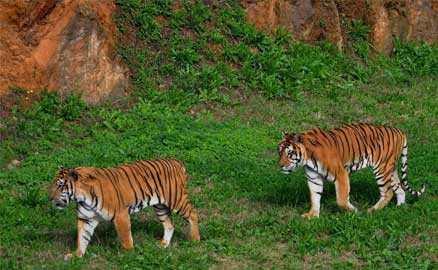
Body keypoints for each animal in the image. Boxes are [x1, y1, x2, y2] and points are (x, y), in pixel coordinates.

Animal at [48, 159, 200, 258]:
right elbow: (82, 238)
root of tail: (177, 161)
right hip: (161, 206)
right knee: (169, 225)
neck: (82, 197)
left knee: (193, 213)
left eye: (60, 186)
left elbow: (125, 238)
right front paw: (77, 255)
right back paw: (164, 244)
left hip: (176, 200)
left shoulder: (120, 215)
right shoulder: (86, 219)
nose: (49, 198)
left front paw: (128, 256)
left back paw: (195, 239)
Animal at [278, 123, 426, 218]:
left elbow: (341, 200)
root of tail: (399, 131)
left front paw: (354, 211)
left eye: (289, 153)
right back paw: (399, 208)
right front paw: (312, 215)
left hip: (382, 169)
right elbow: (315, 197)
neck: (307, 158)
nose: (280, 165)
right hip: (391, 169)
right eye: (279, 152)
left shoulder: (340, 174)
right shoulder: (313, 178)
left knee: (388, 192)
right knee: (400, 188)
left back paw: (372, 210)